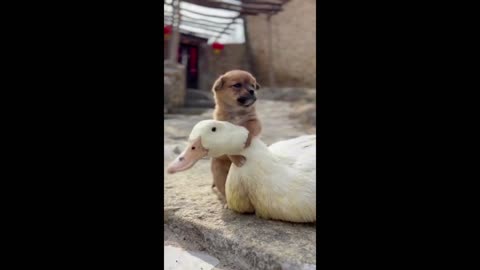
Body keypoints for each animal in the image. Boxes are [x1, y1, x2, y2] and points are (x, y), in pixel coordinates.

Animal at [211, 70, 262, 199]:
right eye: (237, 85)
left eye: (253, 85)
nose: (252, 91)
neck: (236, 113)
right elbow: (229, 149)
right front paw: (238, 159)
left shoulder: (254, 121)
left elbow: (249, 128)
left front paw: (246, 139)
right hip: (219, 172)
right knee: (223, 189)